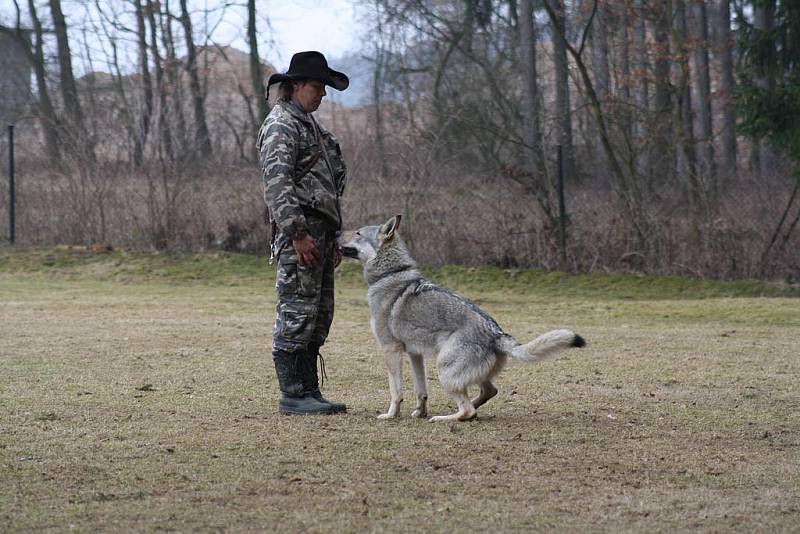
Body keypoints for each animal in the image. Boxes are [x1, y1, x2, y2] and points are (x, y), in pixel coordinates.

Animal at [340, 215, 588, 422]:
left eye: (358, 233)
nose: (336, 232)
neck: (390, 274)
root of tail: (496, 333)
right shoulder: (414, 353)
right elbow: (421, 390)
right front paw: (419, 412)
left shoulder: (390, 350)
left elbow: (396, 391)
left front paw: (391, 415)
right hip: (463, 374)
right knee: (487, 393)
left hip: (444, 370)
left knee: (468, 410)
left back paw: (443, 418)